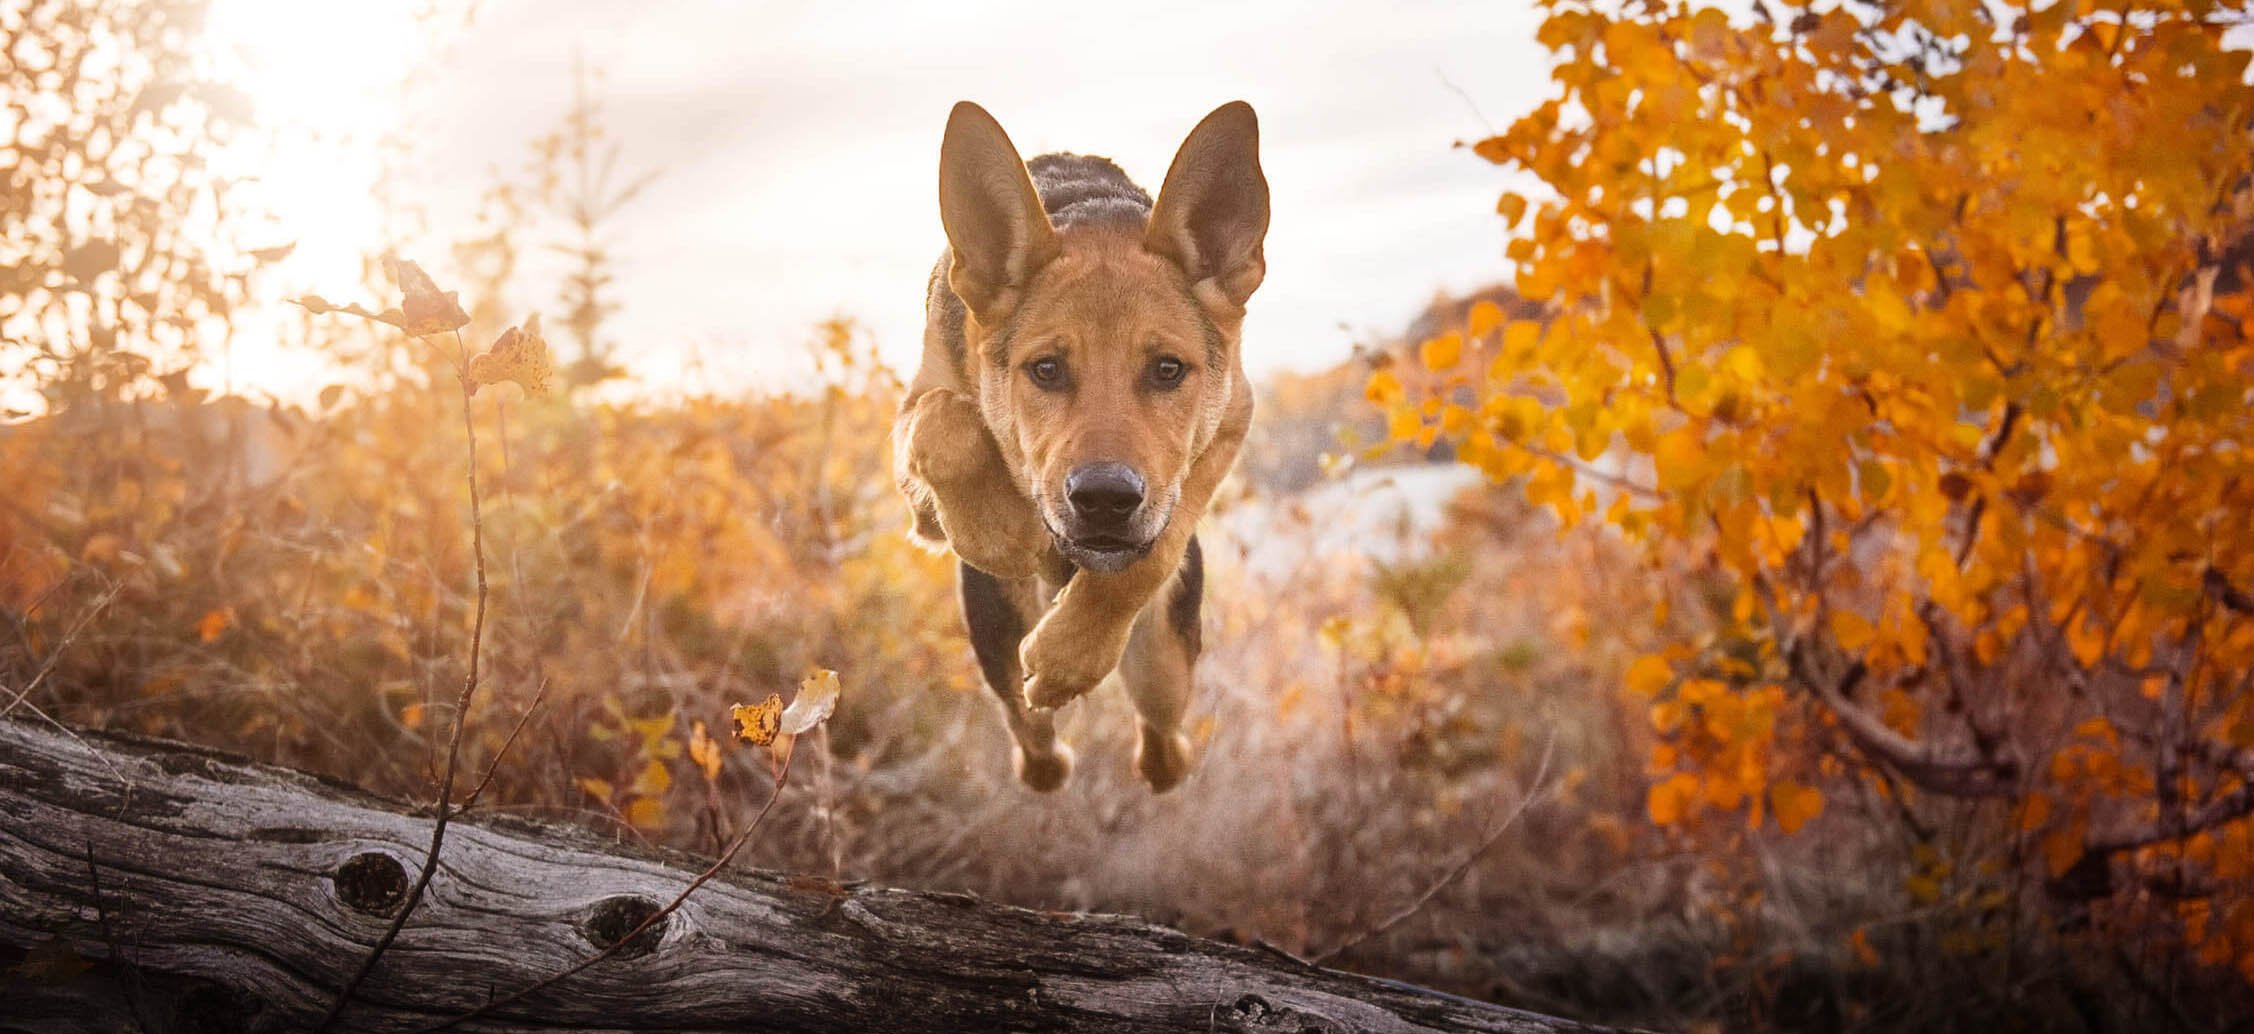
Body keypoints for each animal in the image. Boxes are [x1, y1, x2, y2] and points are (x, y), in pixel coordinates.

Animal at [888, 103, 1271, 792]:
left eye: (1169, 370)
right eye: (1045, 369)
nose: (1104, 500)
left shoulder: (1233, 418)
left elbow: (1154, 547)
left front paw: (1071, 653)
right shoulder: (918, 453)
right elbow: (945, 424)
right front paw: (1000, 531)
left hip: (1163, 663)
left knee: (1163, 742)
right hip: (996, 641)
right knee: (1031, 735)